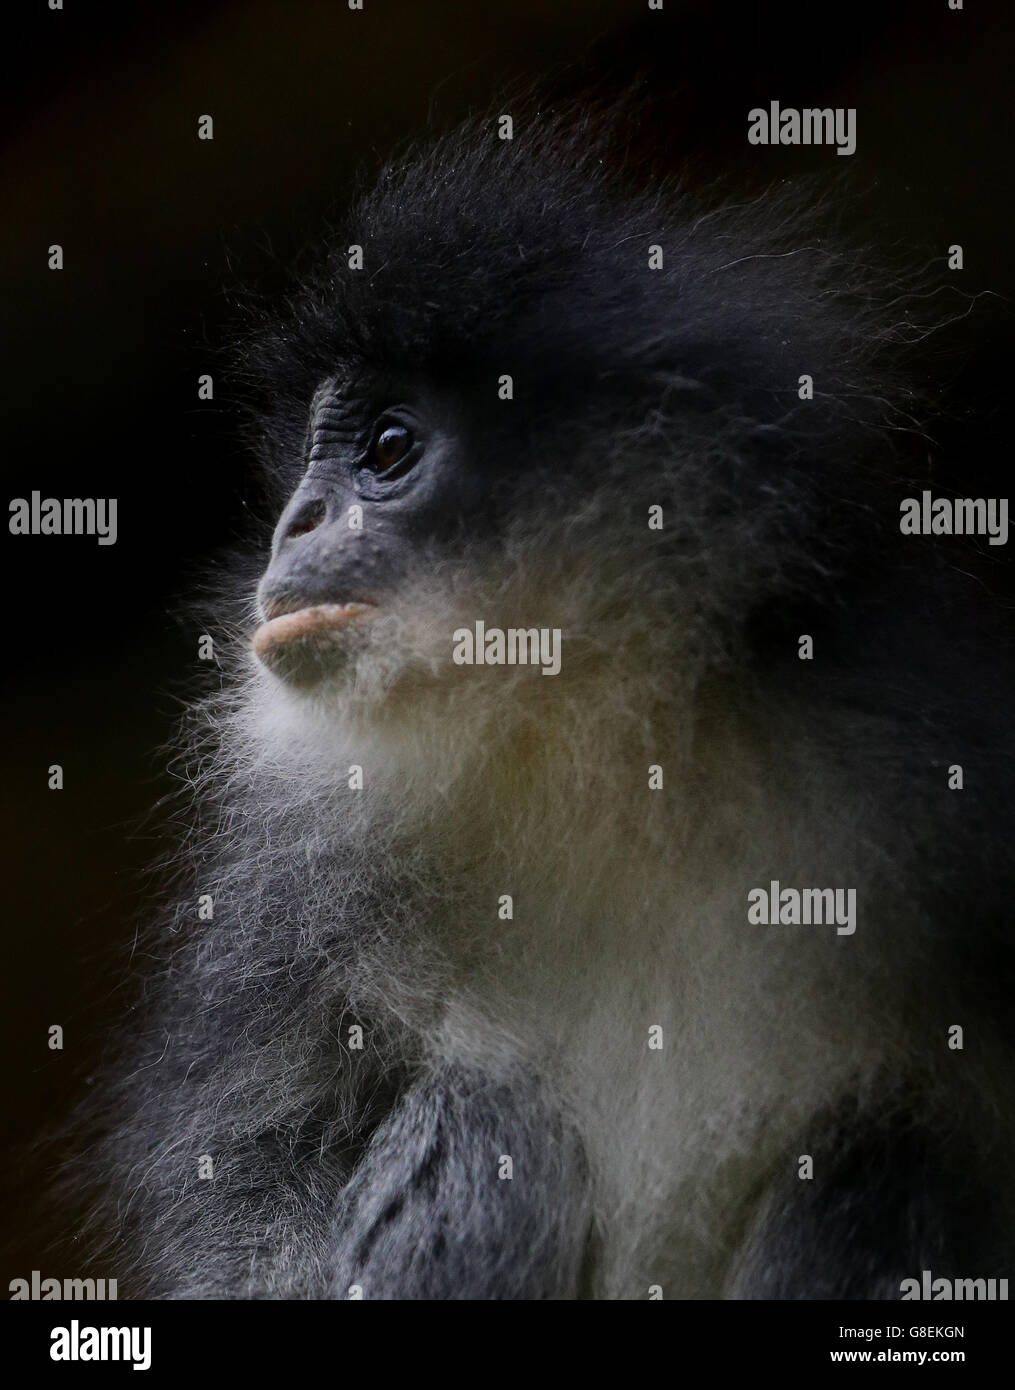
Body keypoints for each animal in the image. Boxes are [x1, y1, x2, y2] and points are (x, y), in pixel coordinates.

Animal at [73, 109, 1014, 1300]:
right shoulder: (301, 861)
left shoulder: (927, 735)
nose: (295, 523)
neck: (613, 752)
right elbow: (240, 1164)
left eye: (388, 448)